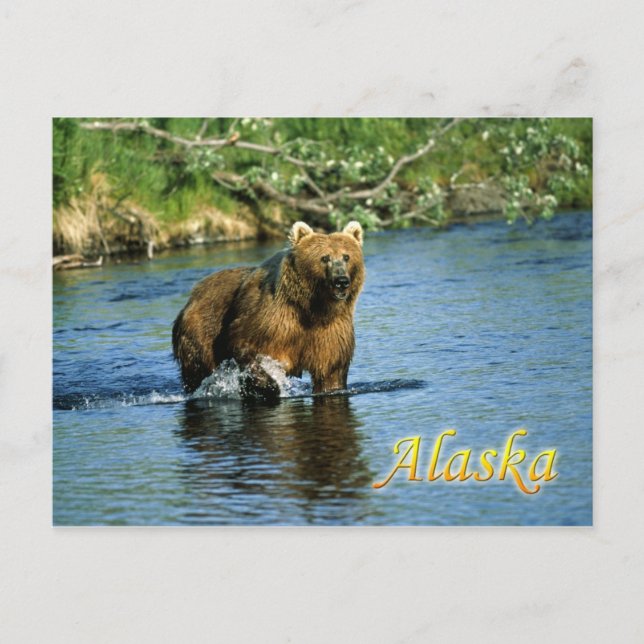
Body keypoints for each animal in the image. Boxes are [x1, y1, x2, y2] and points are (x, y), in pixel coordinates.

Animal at [172, 220, 365, 399]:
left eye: (346, 257)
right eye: (324, 258)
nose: (341, 281)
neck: (313, 308)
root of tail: (193, 294)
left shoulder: (331, 332)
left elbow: (330, 372)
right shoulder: (272, 321)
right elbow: (245, 345)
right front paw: (268, 386)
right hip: (200, 331)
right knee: (198, 370)